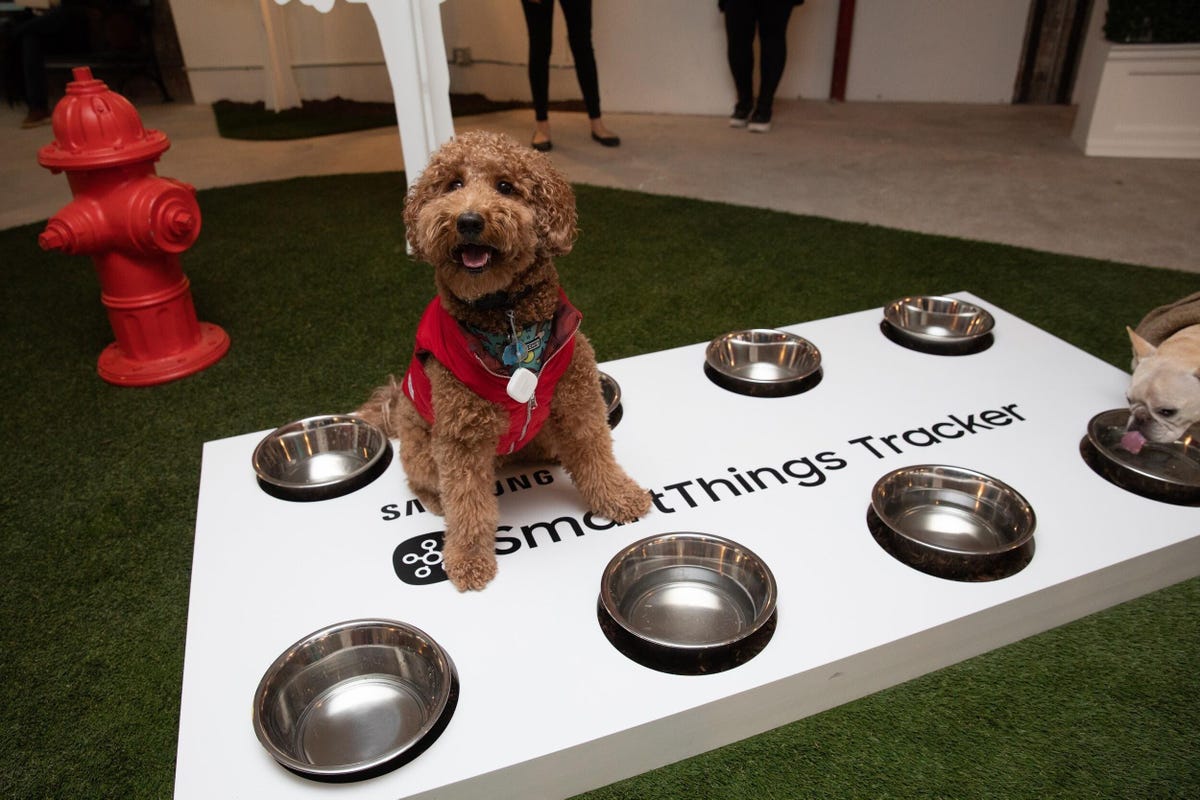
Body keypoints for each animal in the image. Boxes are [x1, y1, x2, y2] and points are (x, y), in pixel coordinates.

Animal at [357, 131, 652, 592]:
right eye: (453, 184)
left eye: (506, 186)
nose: (468, 221)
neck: (507, 320)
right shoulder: (460, 438)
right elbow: (467, 505)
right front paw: (467, 559)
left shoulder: (579, 401)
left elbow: (596, 454)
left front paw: (619, 498)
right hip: (422, 449)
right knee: (423, 482)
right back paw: (434, 501)